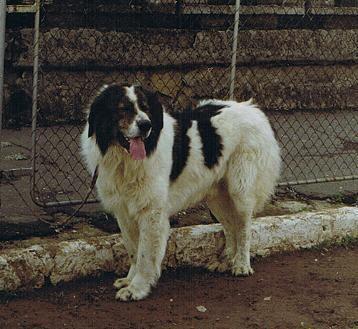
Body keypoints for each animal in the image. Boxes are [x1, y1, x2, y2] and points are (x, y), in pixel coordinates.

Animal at [79, 84, 282, 300]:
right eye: (123, 108)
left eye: (145, 108)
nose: (146, 125)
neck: (125, 161)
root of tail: (252, 109)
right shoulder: (124, 212)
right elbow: (133, 249)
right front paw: (129, 280)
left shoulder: (151, 213)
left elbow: (144, 255)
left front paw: (138, 288)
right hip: (218, 197)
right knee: (231, 227)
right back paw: (226, 262)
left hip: (240, 190)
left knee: (243, 228)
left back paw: (241, 265)